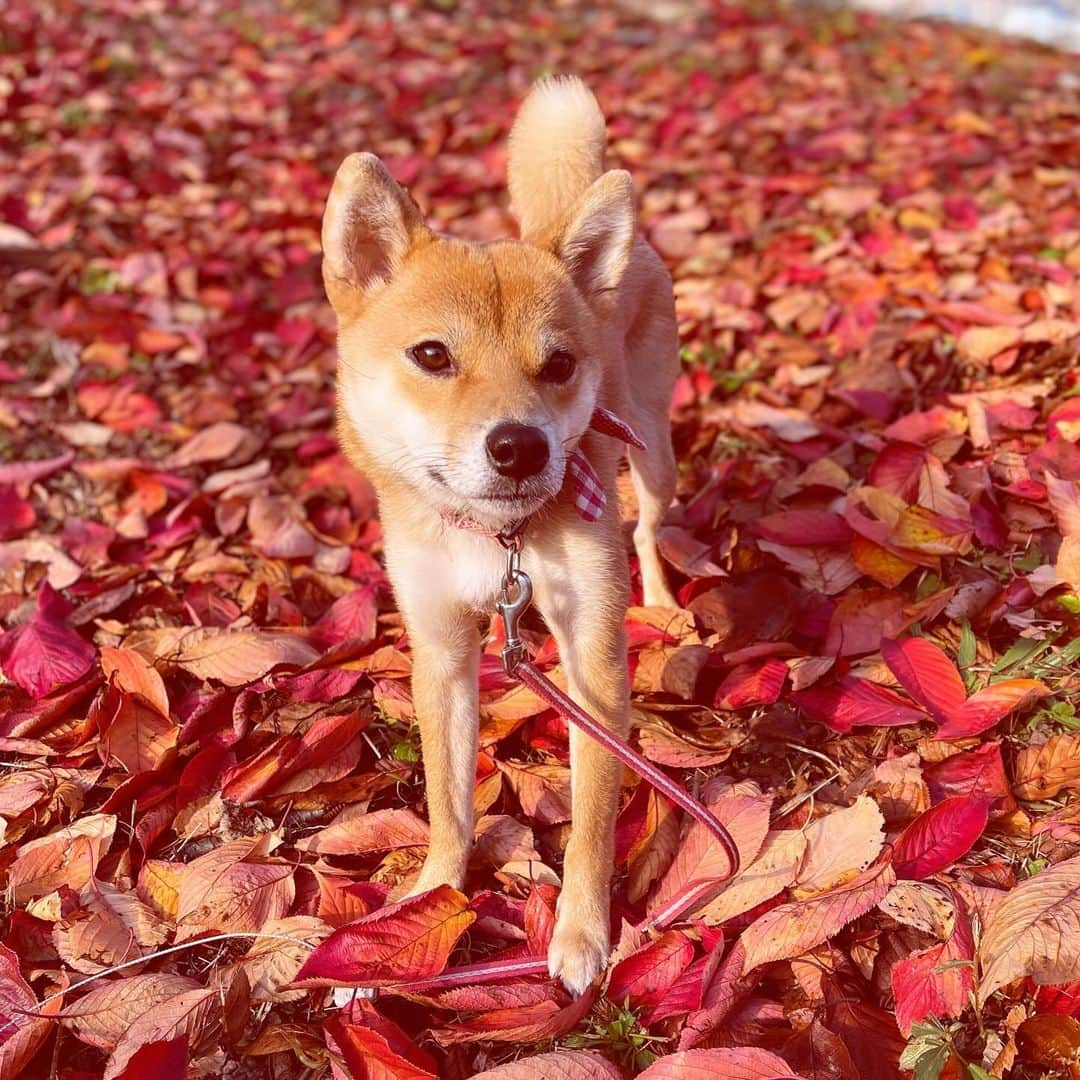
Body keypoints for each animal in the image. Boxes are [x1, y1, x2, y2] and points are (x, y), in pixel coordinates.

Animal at [321, 78, 673, 993]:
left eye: (560, 365)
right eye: (432, 355)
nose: (521, 446)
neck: (496, 537)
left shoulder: (593, 663)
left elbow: (592, 820)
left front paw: (581, 934)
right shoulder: (443, 653)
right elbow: (448, 803)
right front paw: (427, 901)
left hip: (654, 454)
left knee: (653, 527)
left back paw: (665, 600)